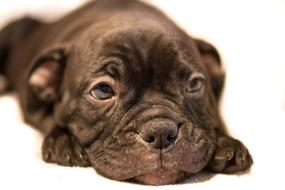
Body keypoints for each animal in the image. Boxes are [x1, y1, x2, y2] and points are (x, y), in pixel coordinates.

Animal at [0, 0, 251, 185]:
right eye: (102, 91)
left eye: (194, 84)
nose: (161, 131)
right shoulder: (31, 102)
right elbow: (48, 116)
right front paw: (64, 141)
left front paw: (225, 143)